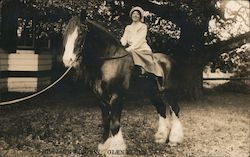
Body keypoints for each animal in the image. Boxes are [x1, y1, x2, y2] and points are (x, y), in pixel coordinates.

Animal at [62, 15, 184, 156]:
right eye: (66, 33)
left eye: (81, 33)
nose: (67, 60)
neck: (110, 61)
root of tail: (170, 60)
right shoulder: (101, 98)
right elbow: (106, 122)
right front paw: (104, 146)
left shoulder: (117, 97)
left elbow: (115, 124)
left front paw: (116, 149)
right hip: (153, 93)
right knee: (162, 110)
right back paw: (161, 137)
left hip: (170, 92)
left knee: (175, 110)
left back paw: (174, 140)